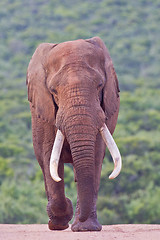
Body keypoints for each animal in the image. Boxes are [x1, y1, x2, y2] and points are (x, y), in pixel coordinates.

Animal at [26, 36, 121, 232]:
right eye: (53, 90)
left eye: (100, 85)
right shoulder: (44, 110)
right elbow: (48, 156)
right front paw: (59, 222)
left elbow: (95, 155)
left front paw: (86, 228)